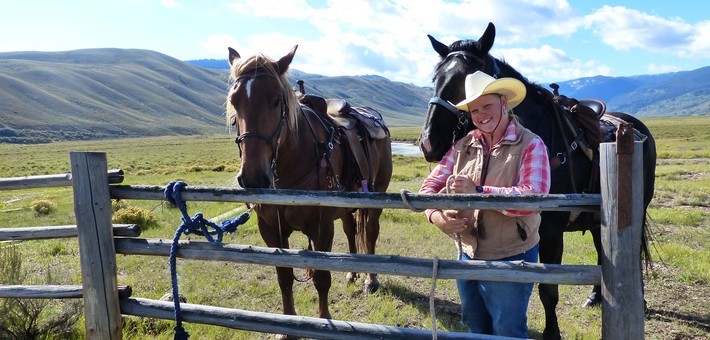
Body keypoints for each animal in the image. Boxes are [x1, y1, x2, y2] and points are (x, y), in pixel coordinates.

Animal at [227, 45, 394, 322]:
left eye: (277, 100)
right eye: (233, 101)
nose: (253, 177)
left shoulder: (321, 227)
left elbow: (322, 279)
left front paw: (324, 320)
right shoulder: (270, 229)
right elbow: (284, 278)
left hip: (377, 193)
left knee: (370, 231)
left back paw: (370, 279)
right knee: (350, 229)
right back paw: (353, 273)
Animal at [420, 22, 660, 338]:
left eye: (467, 80)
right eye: (436, 78)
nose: (429, 142)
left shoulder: (551, 232)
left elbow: (548, 290)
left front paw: (552, 333)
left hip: (637, 208)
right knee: (602, 248)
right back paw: (596, 295)